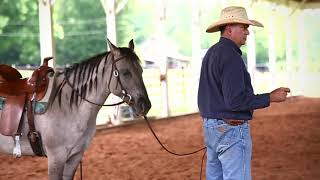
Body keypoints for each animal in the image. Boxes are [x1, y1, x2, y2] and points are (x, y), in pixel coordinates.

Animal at [0, 39, 152, 180]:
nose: (145, 105)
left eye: (141, 71)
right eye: (126, 72)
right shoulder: (56, 158)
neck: (66, 105)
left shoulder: (75, 157)